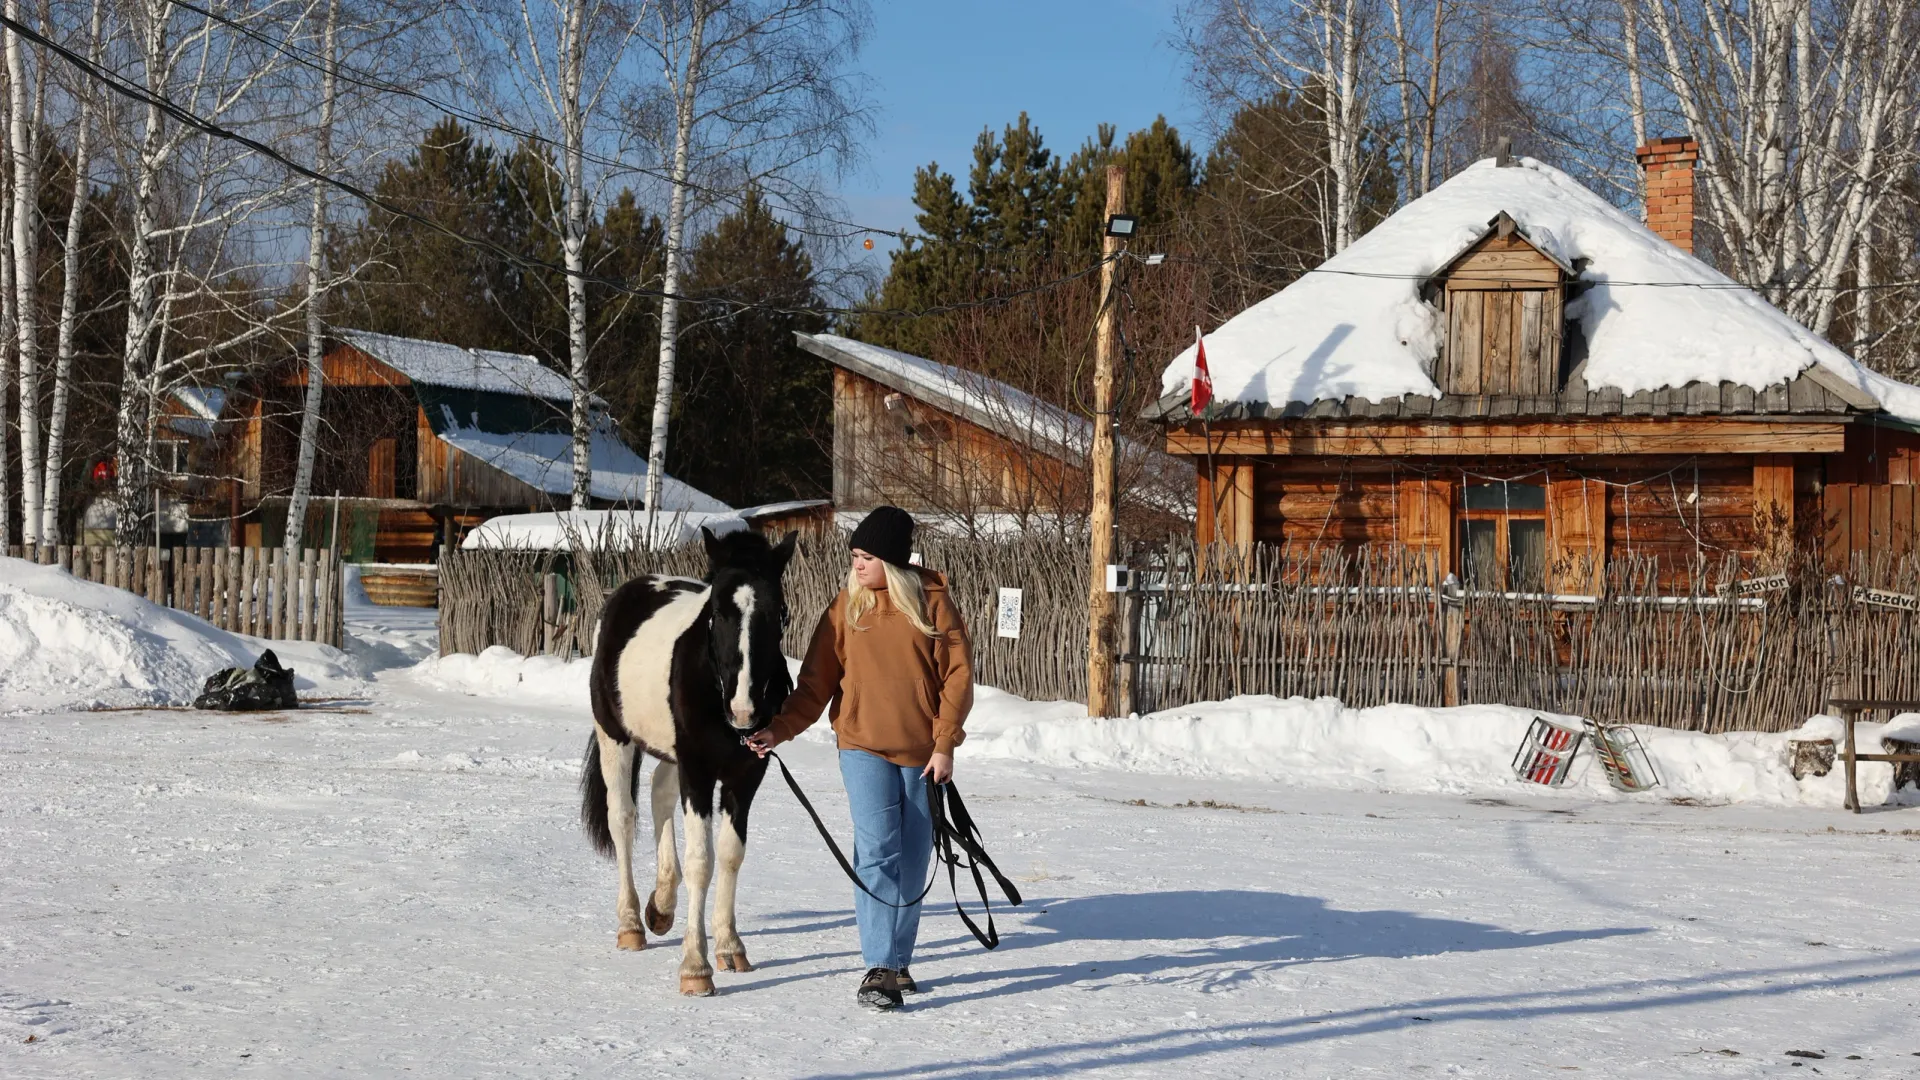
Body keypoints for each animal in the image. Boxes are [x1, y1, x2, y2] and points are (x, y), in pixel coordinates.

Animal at [579, 522, 798, 991]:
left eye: (779, 611)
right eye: (717, 610)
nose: (744, 709)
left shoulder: (746, 774)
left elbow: (731, 854)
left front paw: (730, 947)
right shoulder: (698, 771)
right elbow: (702, 861)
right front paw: (696, 966)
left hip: (671, 753)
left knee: (659, 794)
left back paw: (661, 905)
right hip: (615, 738)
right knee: (622, 817)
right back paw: (631, 924)